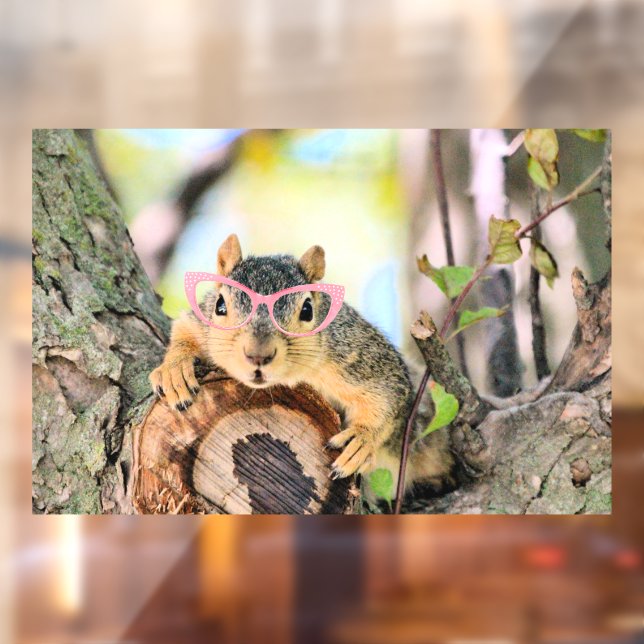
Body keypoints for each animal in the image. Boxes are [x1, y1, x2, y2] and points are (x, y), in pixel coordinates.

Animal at [150, 234, 454, 497]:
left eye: (307, 310)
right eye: (220, 306)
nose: (258, 355)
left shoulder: (359, 357)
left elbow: (387, 394)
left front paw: (361, 440)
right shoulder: (201, 322)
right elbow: (184, 329)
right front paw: (174, 370)